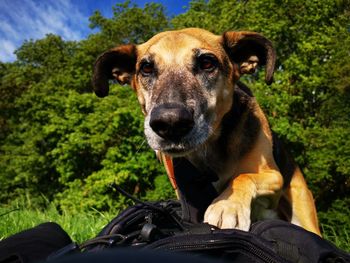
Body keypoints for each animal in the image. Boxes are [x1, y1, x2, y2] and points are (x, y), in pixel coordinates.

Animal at [92, 27, 320, 236]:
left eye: (207, 63)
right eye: (146, 68)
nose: (170, 122)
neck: (209, 148)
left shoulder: (273, 176)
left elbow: (244, 176)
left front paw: (227, 205)